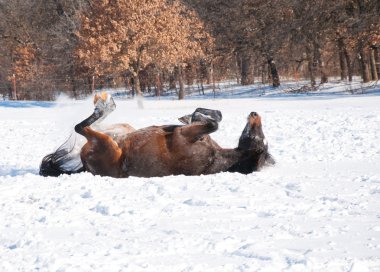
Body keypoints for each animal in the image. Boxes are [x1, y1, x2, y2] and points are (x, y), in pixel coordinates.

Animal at [39, 92, 274, 178]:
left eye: (259, 139)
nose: (255, 114)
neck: (215, 157)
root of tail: (87, 167)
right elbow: (215, 117)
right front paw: (190, 115)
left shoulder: (184, 136)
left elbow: (214, 123)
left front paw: (194, 115)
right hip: (123, 130)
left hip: (107, 145)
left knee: (81, 128)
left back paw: (104, 106)